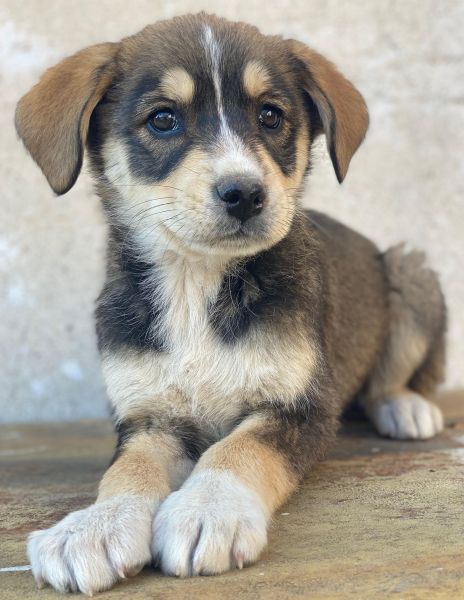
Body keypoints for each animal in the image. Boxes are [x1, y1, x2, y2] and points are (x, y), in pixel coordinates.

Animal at [15, 12, 446, 595]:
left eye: (270, 115)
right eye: (163, 119)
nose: (244, 194)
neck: (195, 282)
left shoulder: (300, 407)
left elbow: (237, 449)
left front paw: (206, 511)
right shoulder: (150, 418)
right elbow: (127, 470)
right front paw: (95, 526)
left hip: (410, 270)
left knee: (393, 377)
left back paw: (405, 407)